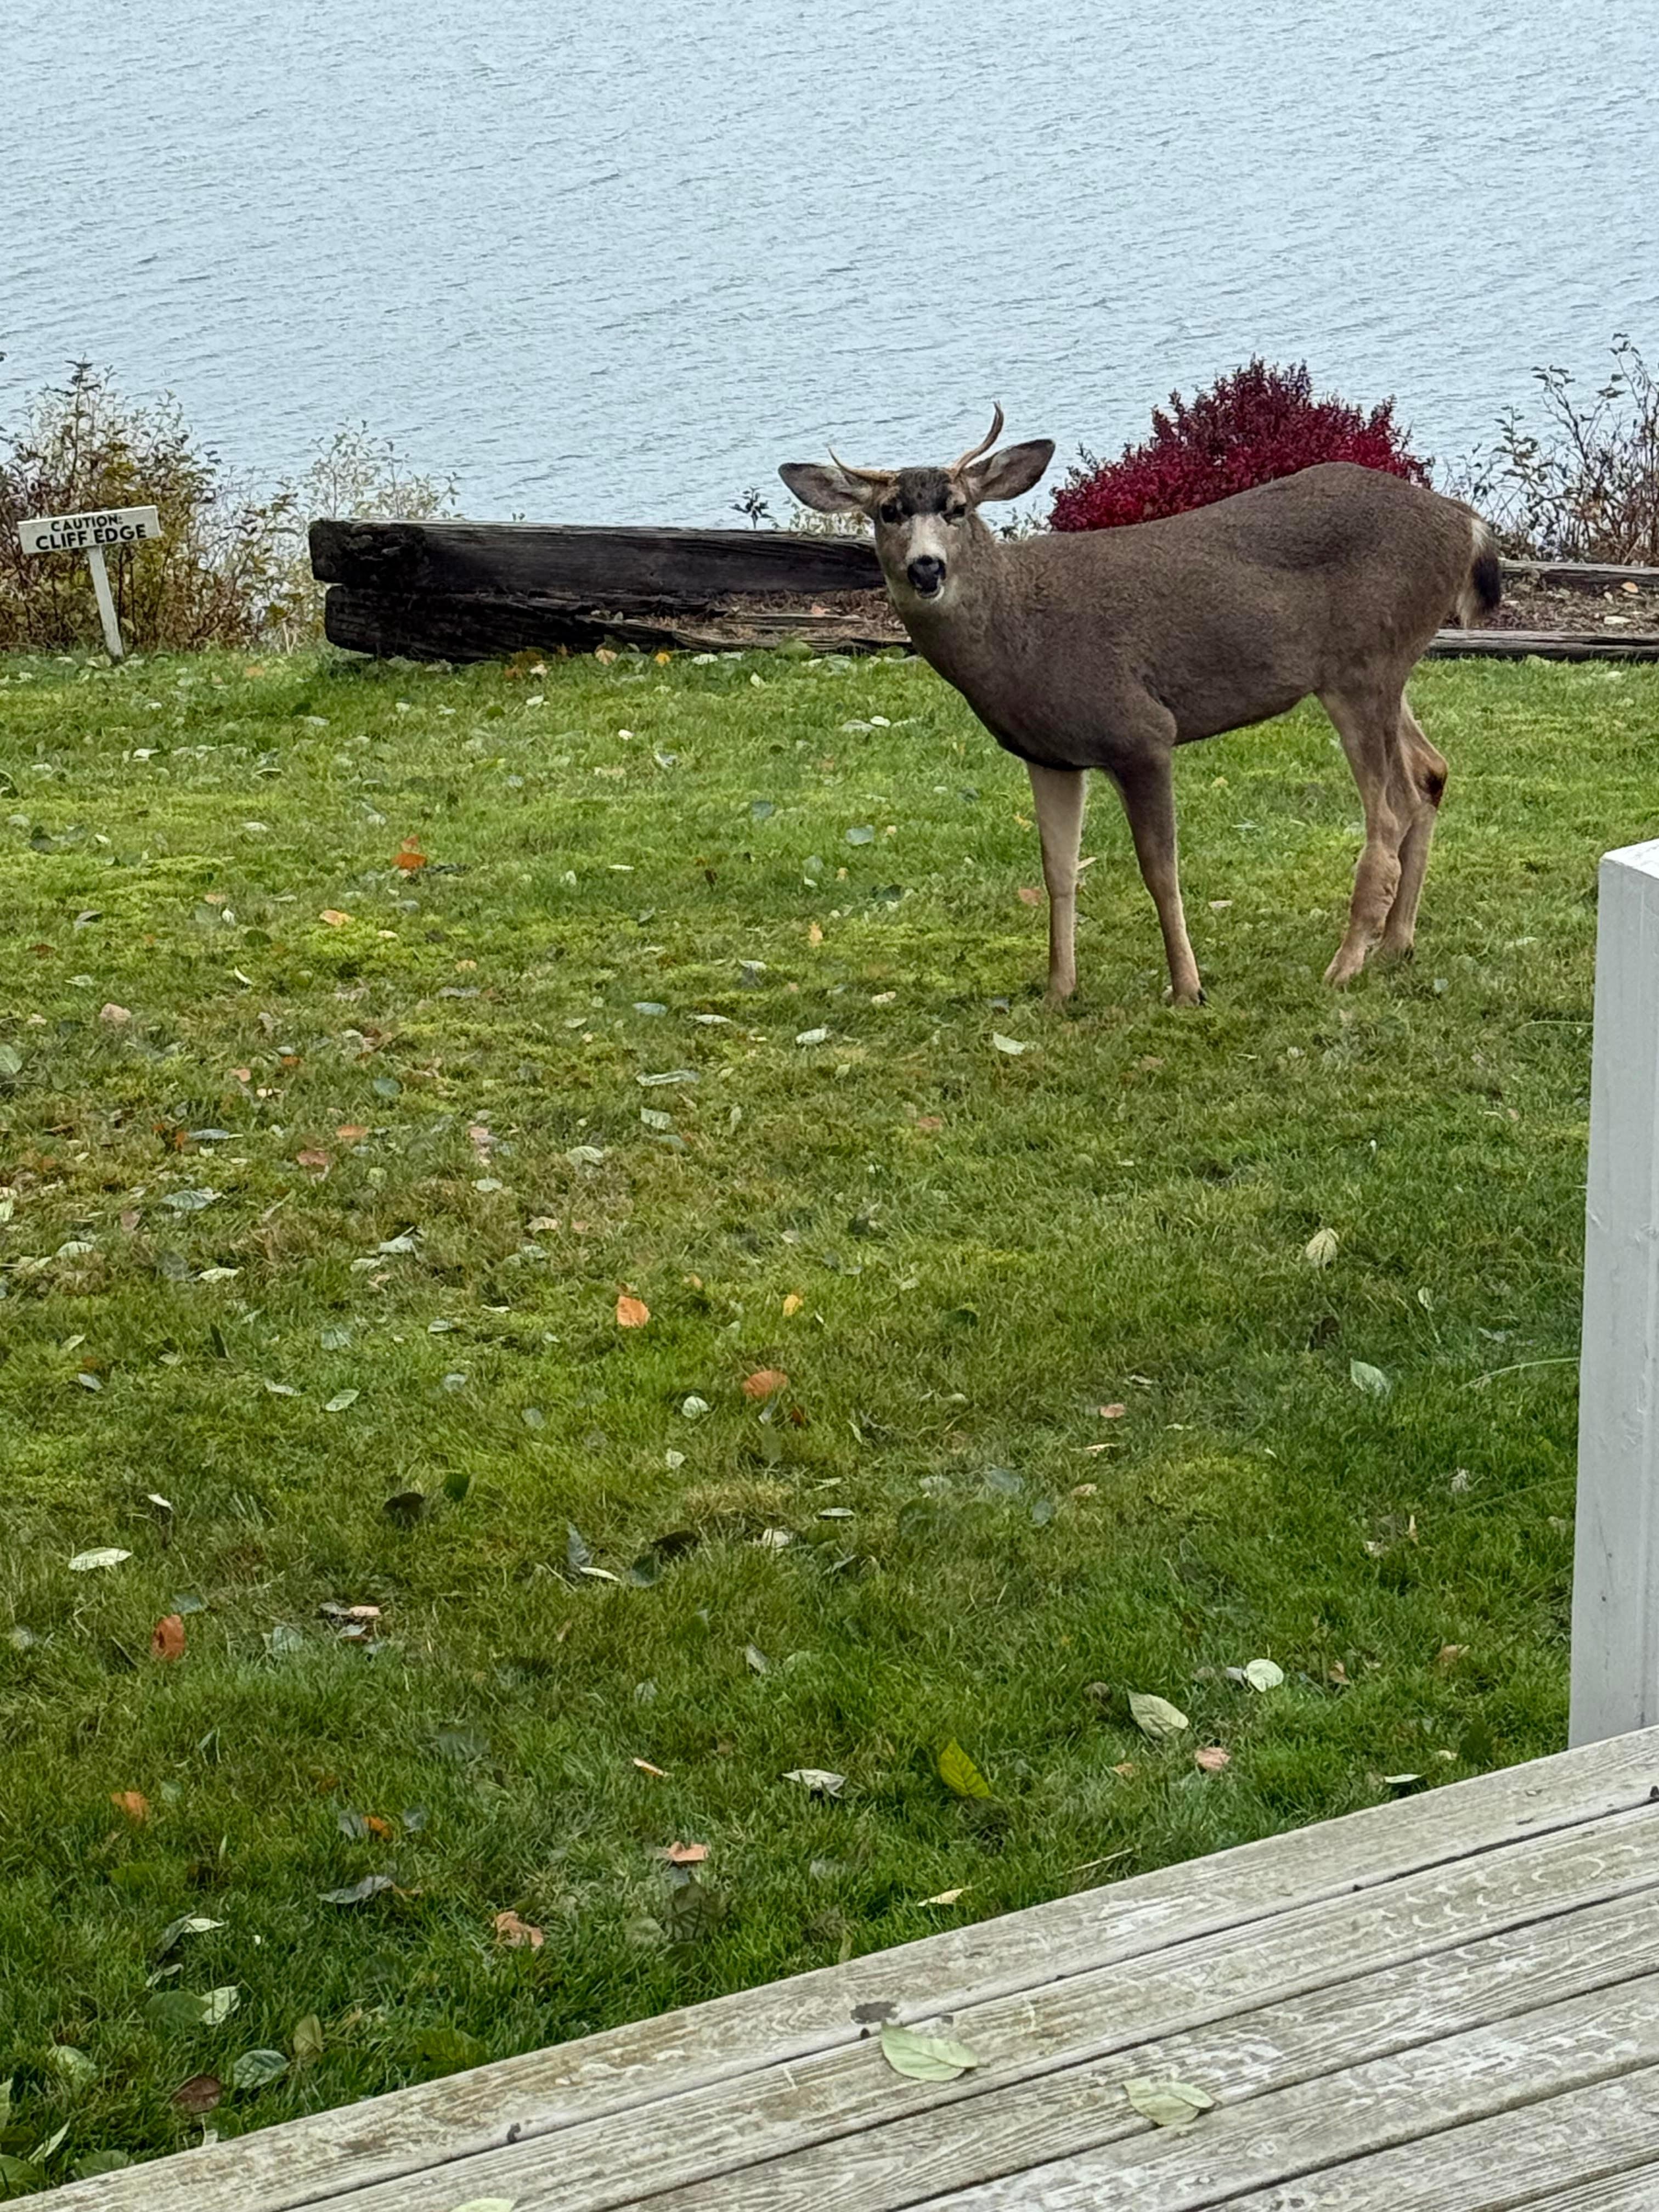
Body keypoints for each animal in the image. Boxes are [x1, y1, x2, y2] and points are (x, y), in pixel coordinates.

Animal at [780, 408, 1501, 1006]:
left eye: (957, 508)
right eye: (889, 512)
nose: (927, 569)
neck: (1020, 637)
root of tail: (1465, 523)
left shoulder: (1140, 731)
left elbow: (1160, 869)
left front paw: (1187, 988)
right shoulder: (1048, 755)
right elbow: (1058, 870)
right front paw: (1058, 991)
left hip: (1365, 666)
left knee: (1390, 809)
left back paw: (1346, 965)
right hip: (1380, 671)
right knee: (1430, 773)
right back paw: (1396, 946)